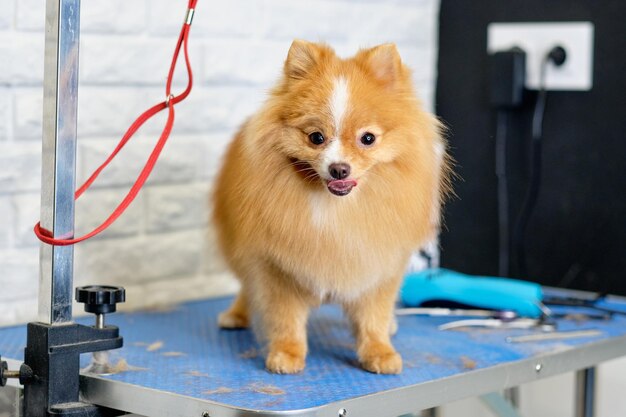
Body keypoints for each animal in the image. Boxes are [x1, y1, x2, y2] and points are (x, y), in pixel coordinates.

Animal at [212, 40, 446, 374]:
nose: (339, 169)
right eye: (316, 137)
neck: (339, 210)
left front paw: (379, 351)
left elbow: (373, 315)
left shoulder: (379, 264)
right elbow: (285, 317)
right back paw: (237, 314)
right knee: (247, 284)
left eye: (368, 138)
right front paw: (286, 353)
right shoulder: (278, 267)